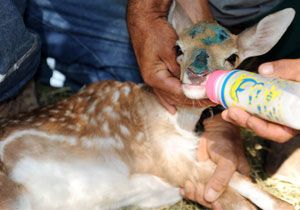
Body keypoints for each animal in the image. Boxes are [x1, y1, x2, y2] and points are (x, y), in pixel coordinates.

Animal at [0, 3, 296, 210]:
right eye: (178, 48)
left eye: (232, 57)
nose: (196, 73)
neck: (176, 121)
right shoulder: (169, 159)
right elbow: (235, 199)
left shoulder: (186, 158)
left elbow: (240, 179)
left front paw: (286, 204)